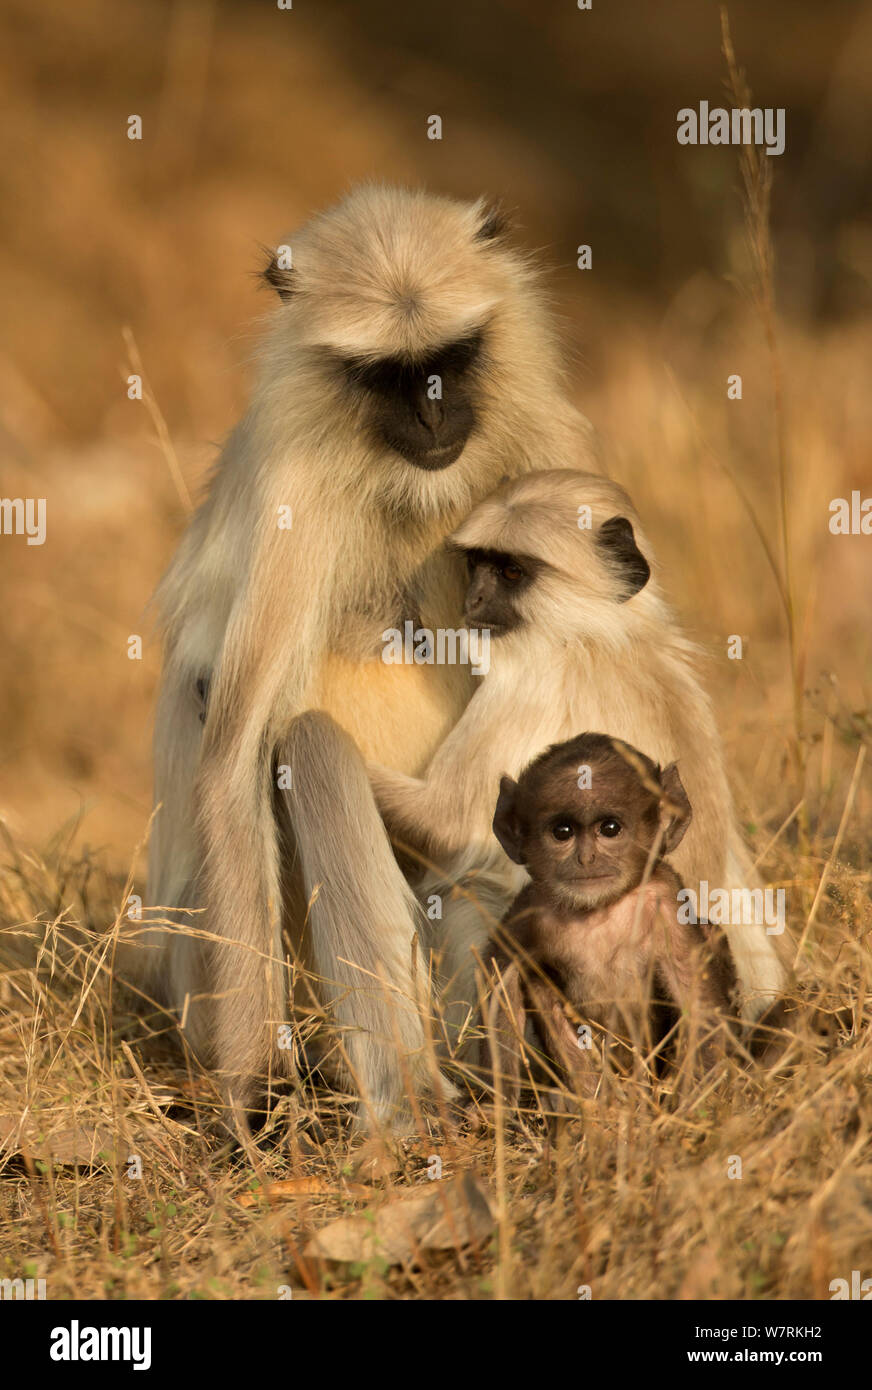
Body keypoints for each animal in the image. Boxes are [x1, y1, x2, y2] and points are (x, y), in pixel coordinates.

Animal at [137, 186, 597, 1130]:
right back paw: (410, 1101)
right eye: (388, 375)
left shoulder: (547, 439)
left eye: (452, 360)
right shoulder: (295, 488)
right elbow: (234, 758)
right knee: (305, 744)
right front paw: (254, 1093)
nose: (431, 413)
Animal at [366, 469, 789, 1051]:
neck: (604, 635)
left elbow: (443, 825)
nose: (473, 598)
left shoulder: (535, 678)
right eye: (478, 564)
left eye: (512, 572)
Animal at [482, 733, 736, 1103]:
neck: (600, 909)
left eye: (610, 828)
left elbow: (698, 1002)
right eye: (562, 831)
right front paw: (492, 1105)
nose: (586, 859)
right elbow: (501, 969)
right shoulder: (531, 907)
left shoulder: (663, 896)